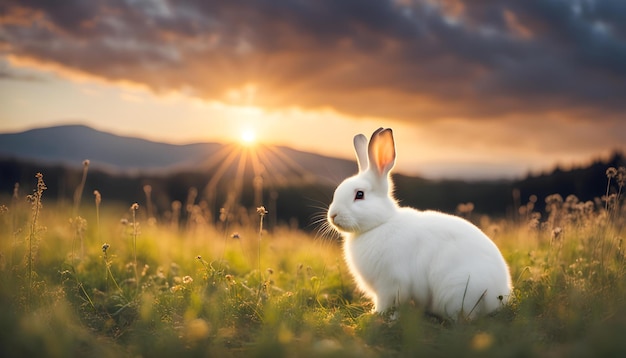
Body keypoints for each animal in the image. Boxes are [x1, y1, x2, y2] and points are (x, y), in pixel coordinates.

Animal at [326, 127, 508, 320]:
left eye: (359, 194)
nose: (333, 215)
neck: (381, 223)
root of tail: (499, 295)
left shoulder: (391, 284)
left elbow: (388, 303)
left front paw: (380, 315)